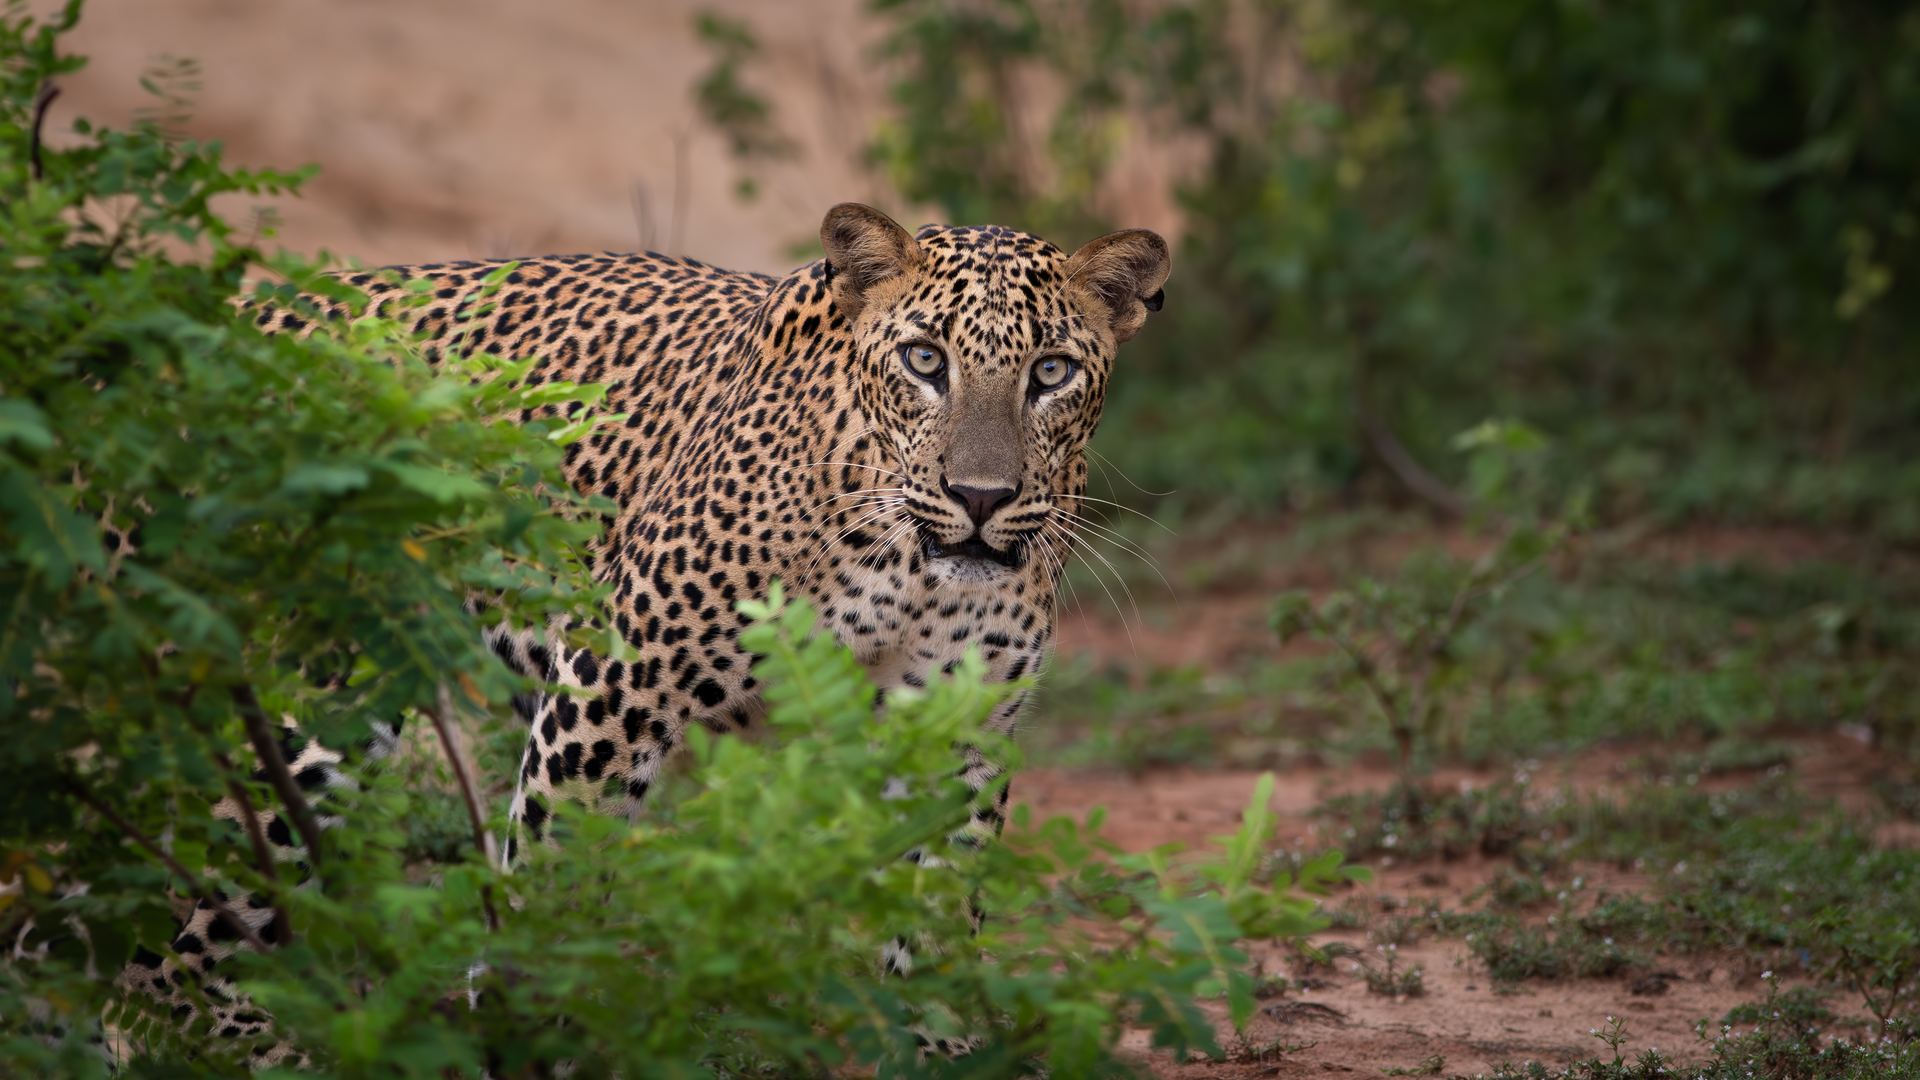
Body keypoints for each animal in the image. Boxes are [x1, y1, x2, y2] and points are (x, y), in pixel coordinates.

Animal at [108, 202, 1170, 1060]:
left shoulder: (957, 739)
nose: (981, 498)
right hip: (289, 697)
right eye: (924, 361)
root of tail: (242, 319)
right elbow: (551, 895)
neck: (907, 570)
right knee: (156, 940)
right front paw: (532, 1041)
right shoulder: (611, 690)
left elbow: (941, 917)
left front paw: (945, 1047)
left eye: (1051, 373)